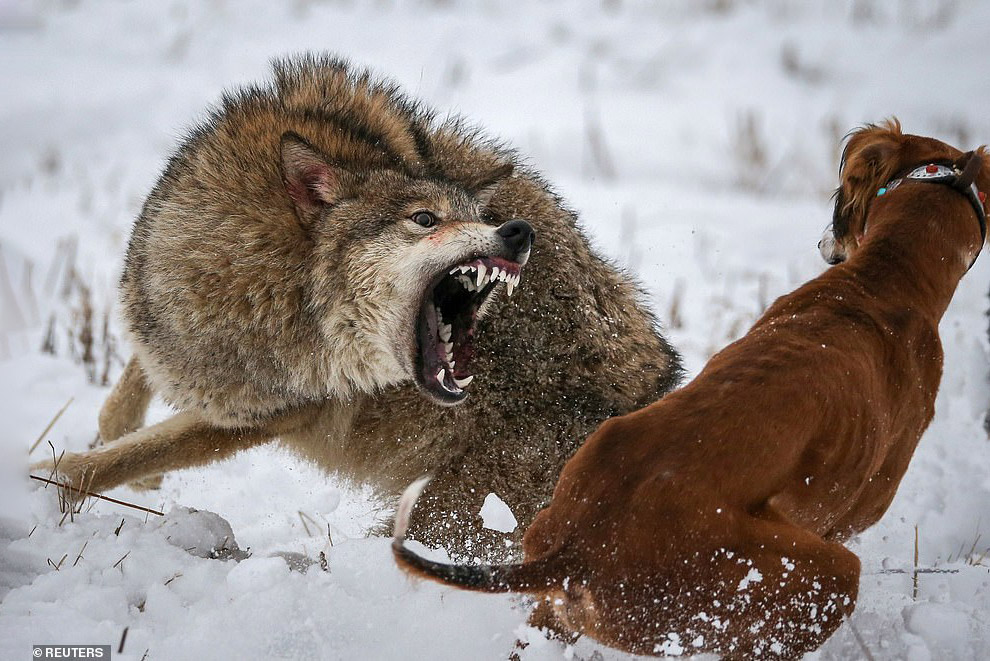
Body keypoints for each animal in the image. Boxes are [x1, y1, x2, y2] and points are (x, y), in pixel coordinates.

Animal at [31, 54, 680, 556]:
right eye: (426, 219)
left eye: (478, 216)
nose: (517, 232)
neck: (272, 287)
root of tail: (659, 393)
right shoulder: (169, 329)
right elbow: (125, 403)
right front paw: (124, 457)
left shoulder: (262, 415)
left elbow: (113, 459)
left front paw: (39, 485)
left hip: (450, 513)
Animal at [392, 121, 988, 656]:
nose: (824, 243)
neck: (881, 282)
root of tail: (580, 546)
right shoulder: (855, 514)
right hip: (815, 576)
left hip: (562, 603)